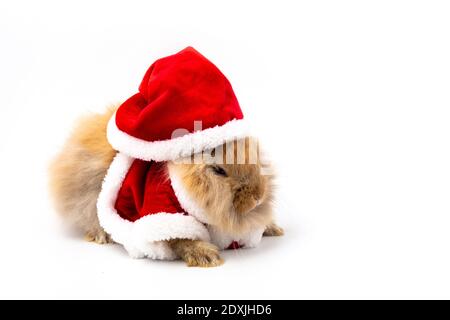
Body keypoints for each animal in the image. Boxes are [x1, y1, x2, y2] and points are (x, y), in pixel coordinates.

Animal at [48, 105, 282, 268]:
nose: (258, 196)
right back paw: (102, 236)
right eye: (218, 170)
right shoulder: (162, 208)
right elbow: (181, 240)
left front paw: (274, 228)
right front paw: (208, 256)